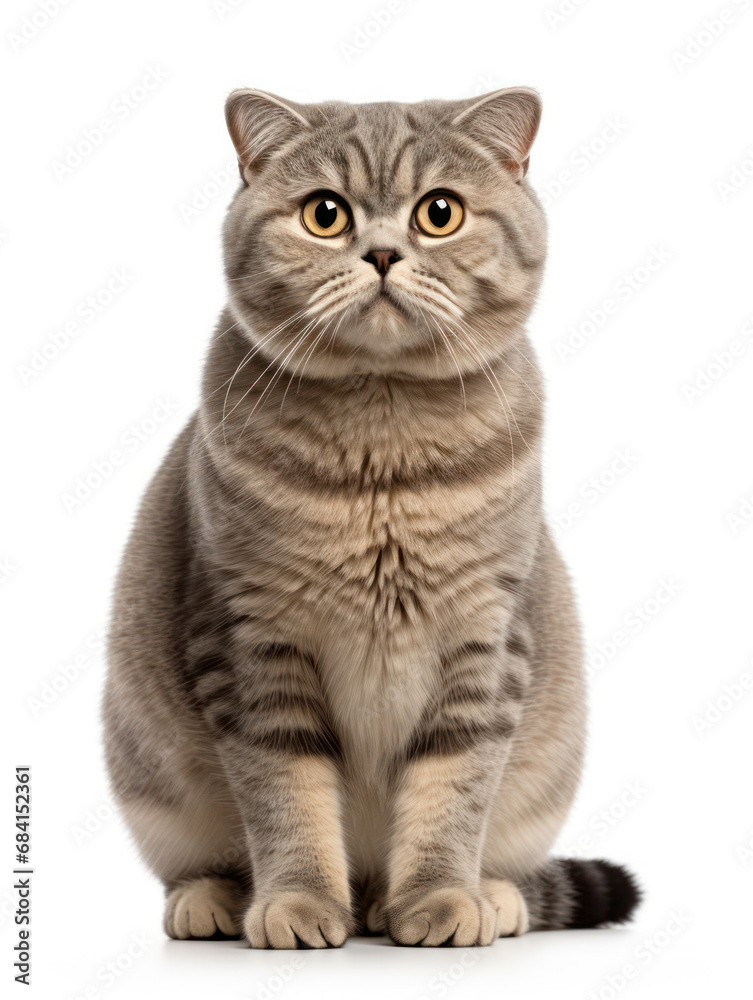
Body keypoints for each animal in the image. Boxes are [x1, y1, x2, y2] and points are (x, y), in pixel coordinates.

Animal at [103, 86, 636, 944]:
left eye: (439, 213)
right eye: (325, 214)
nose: (383, 254)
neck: (383, 455)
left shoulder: (483, 641)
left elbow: (452, 792)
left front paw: (440, 898)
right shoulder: (253, 643)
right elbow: (285, 797)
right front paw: (296, 903)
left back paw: (471, 897)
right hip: (155, 783)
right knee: (199, 863)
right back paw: (215, 900)